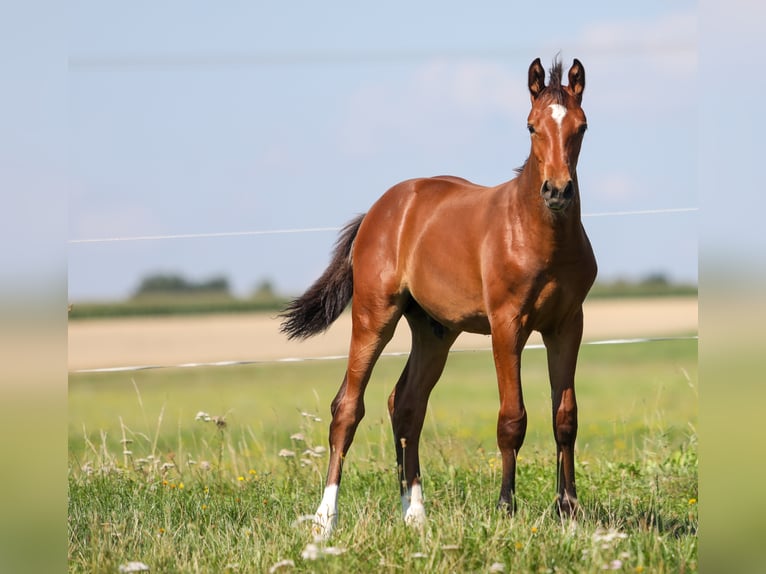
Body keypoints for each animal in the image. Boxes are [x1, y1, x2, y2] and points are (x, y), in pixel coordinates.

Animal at [282, 58, 600, 540]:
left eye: (581, 127)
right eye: (531, 126)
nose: (558, 190)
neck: (537, 235)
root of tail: (381, 208)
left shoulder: (566, 326)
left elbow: (565, 418)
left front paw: (569, 511)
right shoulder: (507, 326)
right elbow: (512, 419)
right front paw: (506, 508)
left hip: (435, 331)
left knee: (406, 404)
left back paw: (413, 513)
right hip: (374, 315)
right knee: (347, 409)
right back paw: (325, 519)